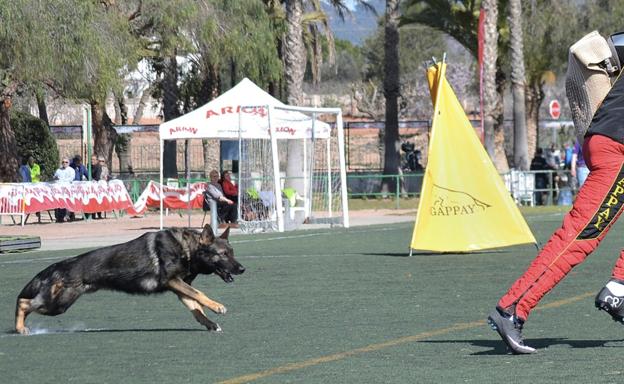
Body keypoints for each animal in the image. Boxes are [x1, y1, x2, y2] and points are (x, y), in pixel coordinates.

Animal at [14, 224, 244, 334]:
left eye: (232, 252)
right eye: (223, 254)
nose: (242, 269)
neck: (187, 249)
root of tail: (58, 265)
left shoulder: (180, 288)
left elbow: (196, 308)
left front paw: (210, 324)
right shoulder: (173, 282)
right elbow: (200, 295)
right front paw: (218, 307)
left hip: (58, 304)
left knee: (27, 303)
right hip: (58, 304)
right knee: (23, 302)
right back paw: (19, 328)